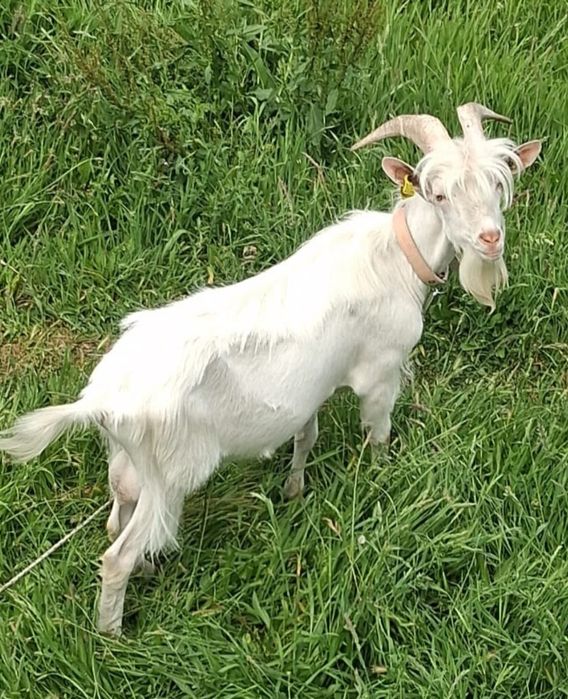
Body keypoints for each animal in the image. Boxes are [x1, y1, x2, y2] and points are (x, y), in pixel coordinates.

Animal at [0, 103, 541, 635]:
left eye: (498, 184)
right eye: (439, 194)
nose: (490, 239)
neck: (395, 257)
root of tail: (102, 398)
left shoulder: (310, 389)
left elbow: (306, 436)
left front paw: (294, 491)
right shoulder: (381, 372)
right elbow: (378, 435)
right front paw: (380, 481)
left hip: (129, 462)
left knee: (118, 515)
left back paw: (148, 570)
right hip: (171, 473)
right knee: (117, 555)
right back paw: (113, 635)